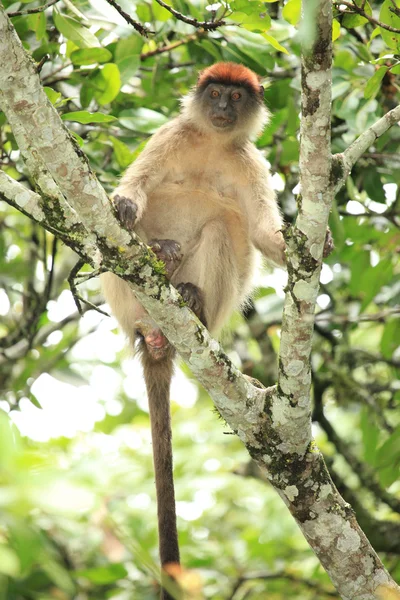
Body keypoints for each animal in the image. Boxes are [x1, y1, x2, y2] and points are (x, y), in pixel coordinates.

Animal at [101, 61, 286, 596]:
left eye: (236, 97)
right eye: (216, 92)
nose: (223, 106)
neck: (211, 143)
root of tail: (152, 333)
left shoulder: (251, 162)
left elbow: (261, 231)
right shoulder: (171, 134)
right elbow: (134, 187)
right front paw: (126, 204)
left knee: (225, 226)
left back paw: (192, 301)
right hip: (125, 301)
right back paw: (160, 254)